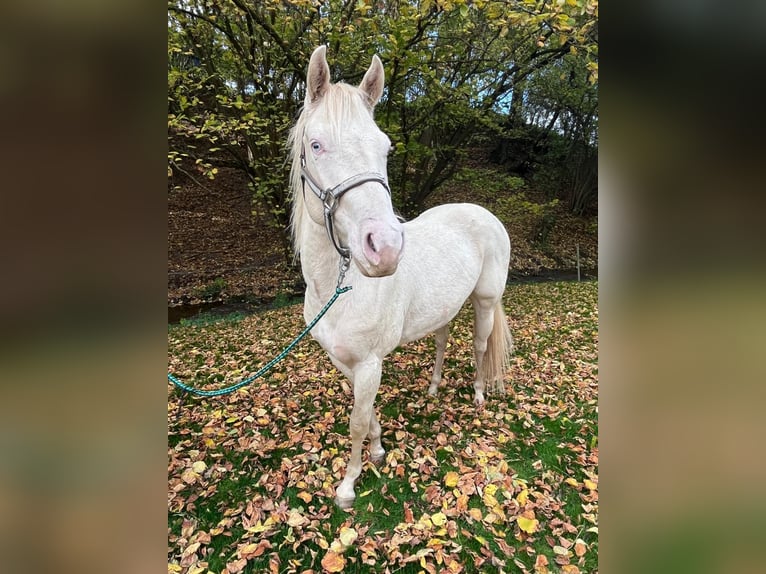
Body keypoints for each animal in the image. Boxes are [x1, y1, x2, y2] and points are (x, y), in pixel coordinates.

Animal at [289, 46, 513, 508]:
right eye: (316, 145)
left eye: (386, 148)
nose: (386, 247)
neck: (339, 288)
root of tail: (484, 213)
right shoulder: (345, 361)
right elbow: (367, 413)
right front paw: (377, 449)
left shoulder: (370, 363)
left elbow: (356, 422)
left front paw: (348, 485)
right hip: (446, 307)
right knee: (443, 340)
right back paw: (433, 388)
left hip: (484, 302)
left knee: (480, 346)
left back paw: (479, 394)